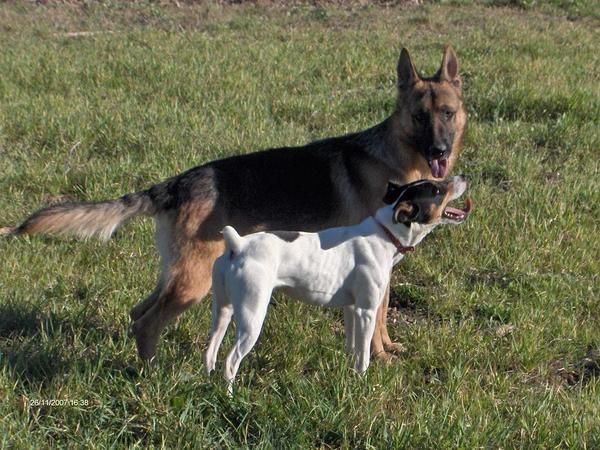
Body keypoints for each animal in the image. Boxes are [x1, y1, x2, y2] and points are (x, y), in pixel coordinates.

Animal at [2, 45, 466, 362]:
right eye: (419, 117)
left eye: (447, 112)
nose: (440, 151)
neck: (394, 158)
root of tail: (174, 184)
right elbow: (376, 321)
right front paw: (380, 358)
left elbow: (382, 318)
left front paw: (386, 349)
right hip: (194, 281)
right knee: (148, 319)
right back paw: (149, 372)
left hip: (180, 274)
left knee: (139, 312)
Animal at [206, 175, 474, 386]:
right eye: (437, 190)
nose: (463, 177)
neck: (384, 234)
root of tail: (238, 245)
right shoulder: (366, 311)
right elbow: (364, 354)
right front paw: (363, 384)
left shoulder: (351, 309)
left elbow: (352, 349)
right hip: (252, 317)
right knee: (230, 362)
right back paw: (230, 395)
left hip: (222, 312)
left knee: (210, 353)